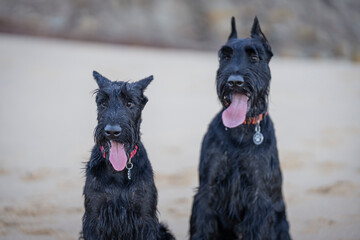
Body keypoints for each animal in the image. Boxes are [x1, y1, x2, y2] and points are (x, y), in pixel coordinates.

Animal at [82, 71, 175, 240]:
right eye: (103, 103)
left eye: (130, 103)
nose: (112, 131)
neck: (117, 171)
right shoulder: (94, 216)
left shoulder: (145, 216)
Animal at [190, 17, 292, 240]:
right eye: (224, 56)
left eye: (254, 56)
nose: (234, 82)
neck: (240, 132)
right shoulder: (208, 188)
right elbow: (201, 226)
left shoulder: (258, 195)